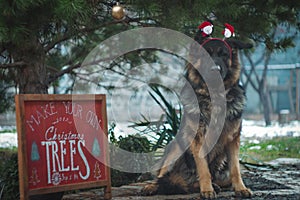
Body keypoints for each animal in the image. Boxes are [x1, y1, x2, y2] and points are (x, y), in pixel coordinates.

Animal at [142, 22, 253, 198]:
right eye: (206, 54)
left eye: (224, 54)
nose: (215, 69)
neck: (214, 96)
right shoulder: (198, 138)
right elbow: (203, 169)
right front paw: (207, 189)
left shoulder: (233, 139)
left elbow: (236, 168)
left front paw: (240, 188)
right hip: (175, 148)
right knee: (162, 176)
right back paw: (153, 186)